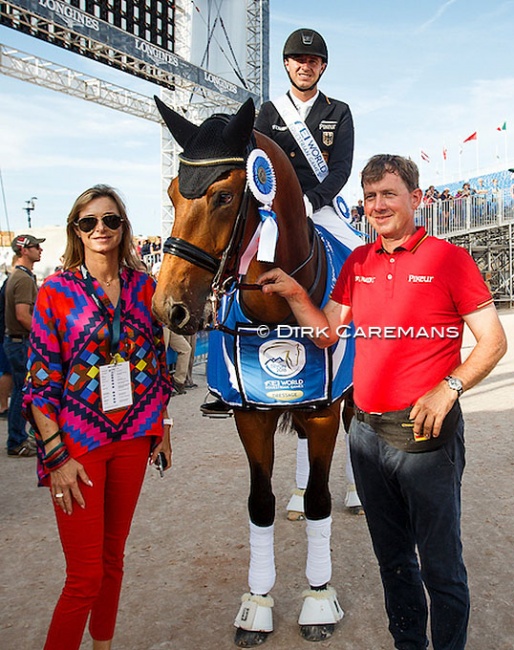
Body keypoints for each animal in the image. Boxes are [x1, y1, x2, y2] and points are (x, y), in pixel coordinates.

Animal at [150, 95, 346, 644]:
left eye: (222, 195)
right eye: (172, 193)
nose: (168, 308)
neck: (282, 308)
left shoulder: (325, 411)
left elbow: (322, 499)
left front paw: (318, 600)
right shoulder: (251, 416)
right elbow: (259, 504)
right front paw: (257, 604)